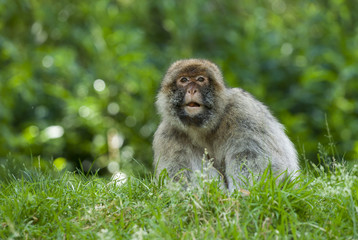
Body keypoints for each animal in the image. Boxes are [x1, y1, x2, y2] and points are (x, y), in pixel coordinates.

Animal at [152, 58, 300, 191]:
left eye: (200, 79)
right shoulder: (167, 135)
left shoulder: (243, 113)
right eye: (184, 80)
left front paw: (240, 194)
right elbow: (179, 174)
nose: (192, 90)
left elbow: (251, 157)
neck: (203, 127)